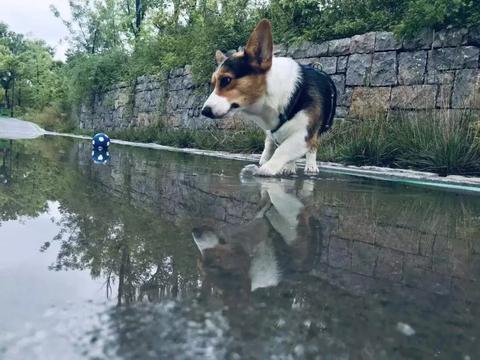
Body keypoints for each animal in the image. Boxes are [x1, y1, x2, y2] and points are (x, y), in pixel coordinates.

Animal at [201, 19, 336, 177]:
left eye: (226, 80)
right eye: (213, 84)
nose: (204, 111)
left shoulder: (305, 135)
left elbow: (284, 150)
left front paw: (266, 170)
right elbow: (276, 145)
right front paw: (270, 164)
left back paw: (309, 166)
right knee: (270, 141)